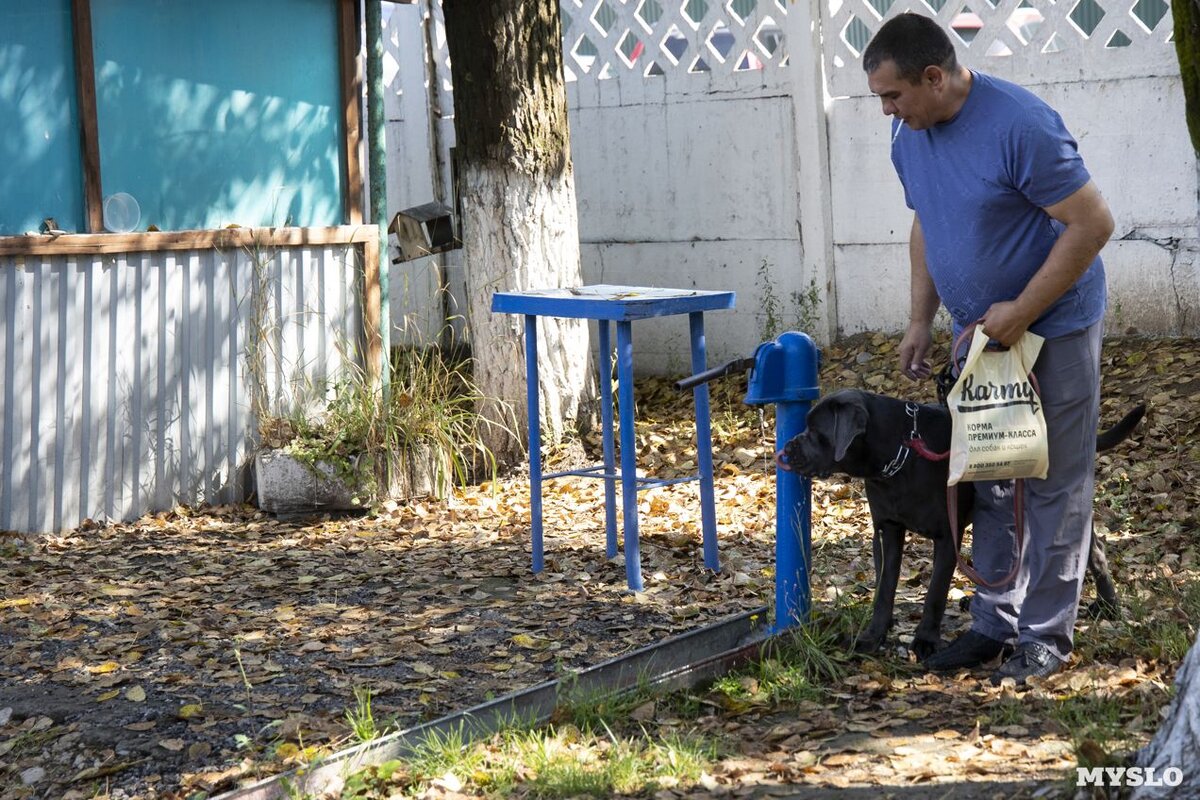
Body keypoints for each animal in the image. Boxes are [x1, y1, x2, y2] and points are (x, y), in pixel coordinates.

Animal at [777, 388, 1142, 662]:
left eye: (816, 431)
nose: (787, 448)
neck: (901, 455)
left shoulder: (945, 536)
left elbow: (935, 593)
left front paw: (925, 640)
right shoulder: (888, 530)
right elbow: (884, 588)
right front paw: (873, 636)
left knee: (1094, 552)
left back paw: (1108, 606)